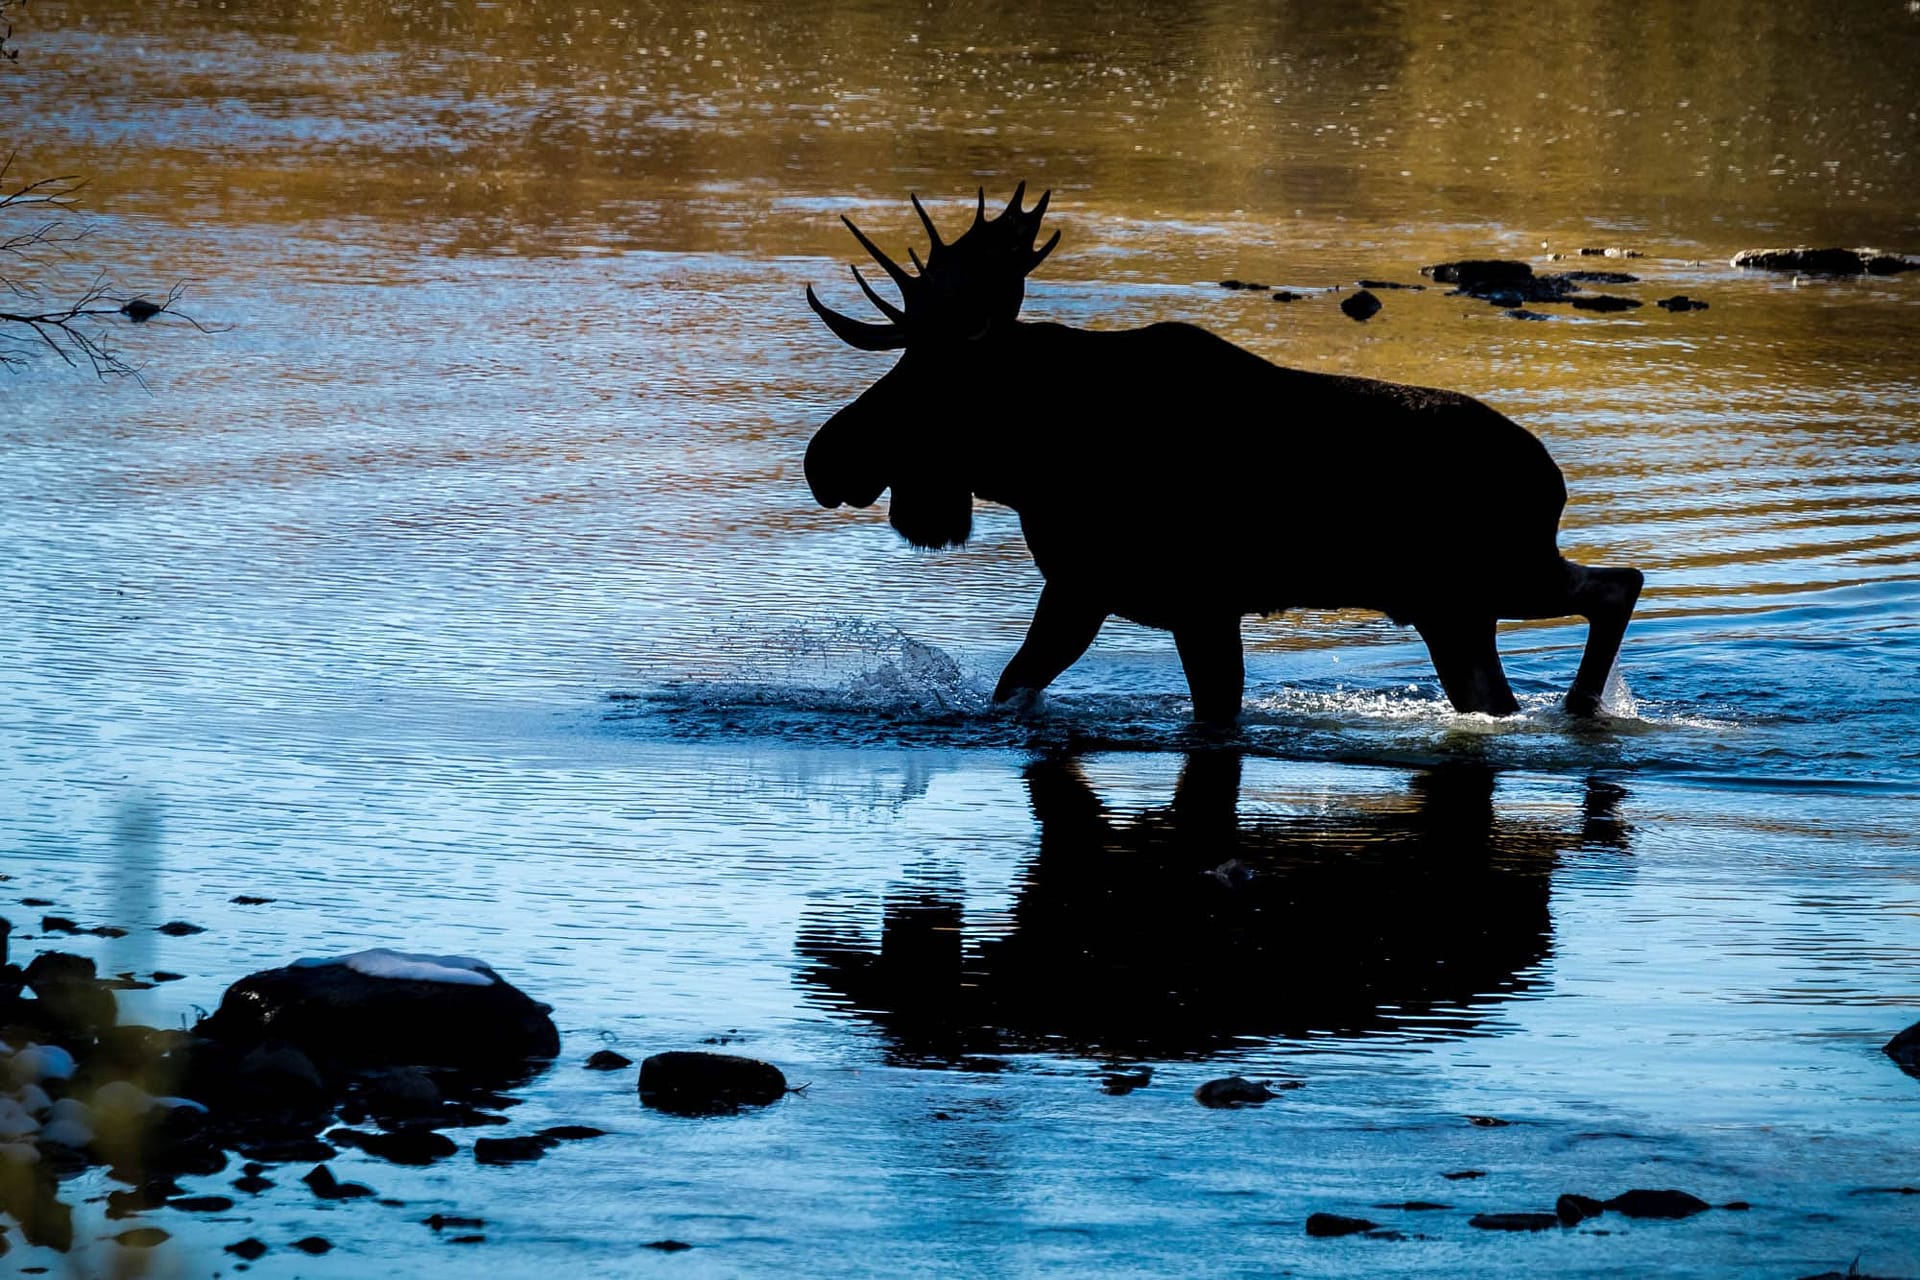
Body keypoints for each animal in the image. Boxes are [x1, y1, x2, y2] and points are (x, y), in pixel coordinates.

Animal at [802, 182, 1643, 721]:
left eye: (929, 375)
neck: (1039, 460)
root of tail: (1553, 478)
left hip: (1492, 577)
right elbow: (1015, 683)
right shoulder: (1085, 588)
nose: (823, 459)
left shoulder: (1195, 602)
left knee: (1618, 583)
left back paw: (1583, 704)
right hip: (1455, 607)